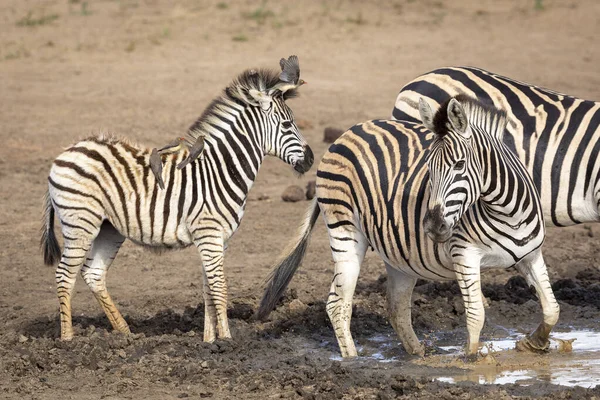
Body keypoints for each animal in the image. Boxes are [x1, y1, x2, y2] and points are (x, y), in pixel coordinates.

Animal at [41, 61, 314, 342]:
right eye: (287, 125)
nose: (311, 160)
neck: (220, 170)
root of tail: (67, 151)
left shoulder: (217, 239)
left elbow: (208, 289)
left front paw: (209, 341)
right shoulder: (209, 233)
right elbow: (220, 288)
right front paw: (227, 340)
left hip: (108, 227)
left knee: (93, 274)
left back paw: (126, 334)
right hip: (80, 222)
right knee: (64, 275)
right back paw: (68, 340)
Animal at [260, 95, 560, 358]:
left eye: (460, 165)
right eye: (428, 166)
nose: (433, 226)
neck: (507, 212)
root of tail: (346, 134)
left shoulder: (531, 256)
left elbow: (551, 308)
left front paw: (533, 344)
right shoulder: (464, 255)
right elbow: (476, 315)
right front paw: (472, 362)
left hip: (399, 253)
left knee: (396, 307)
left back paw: (418, 355)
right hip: (344, 231)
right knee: (338, 305)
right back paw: (353, 361)